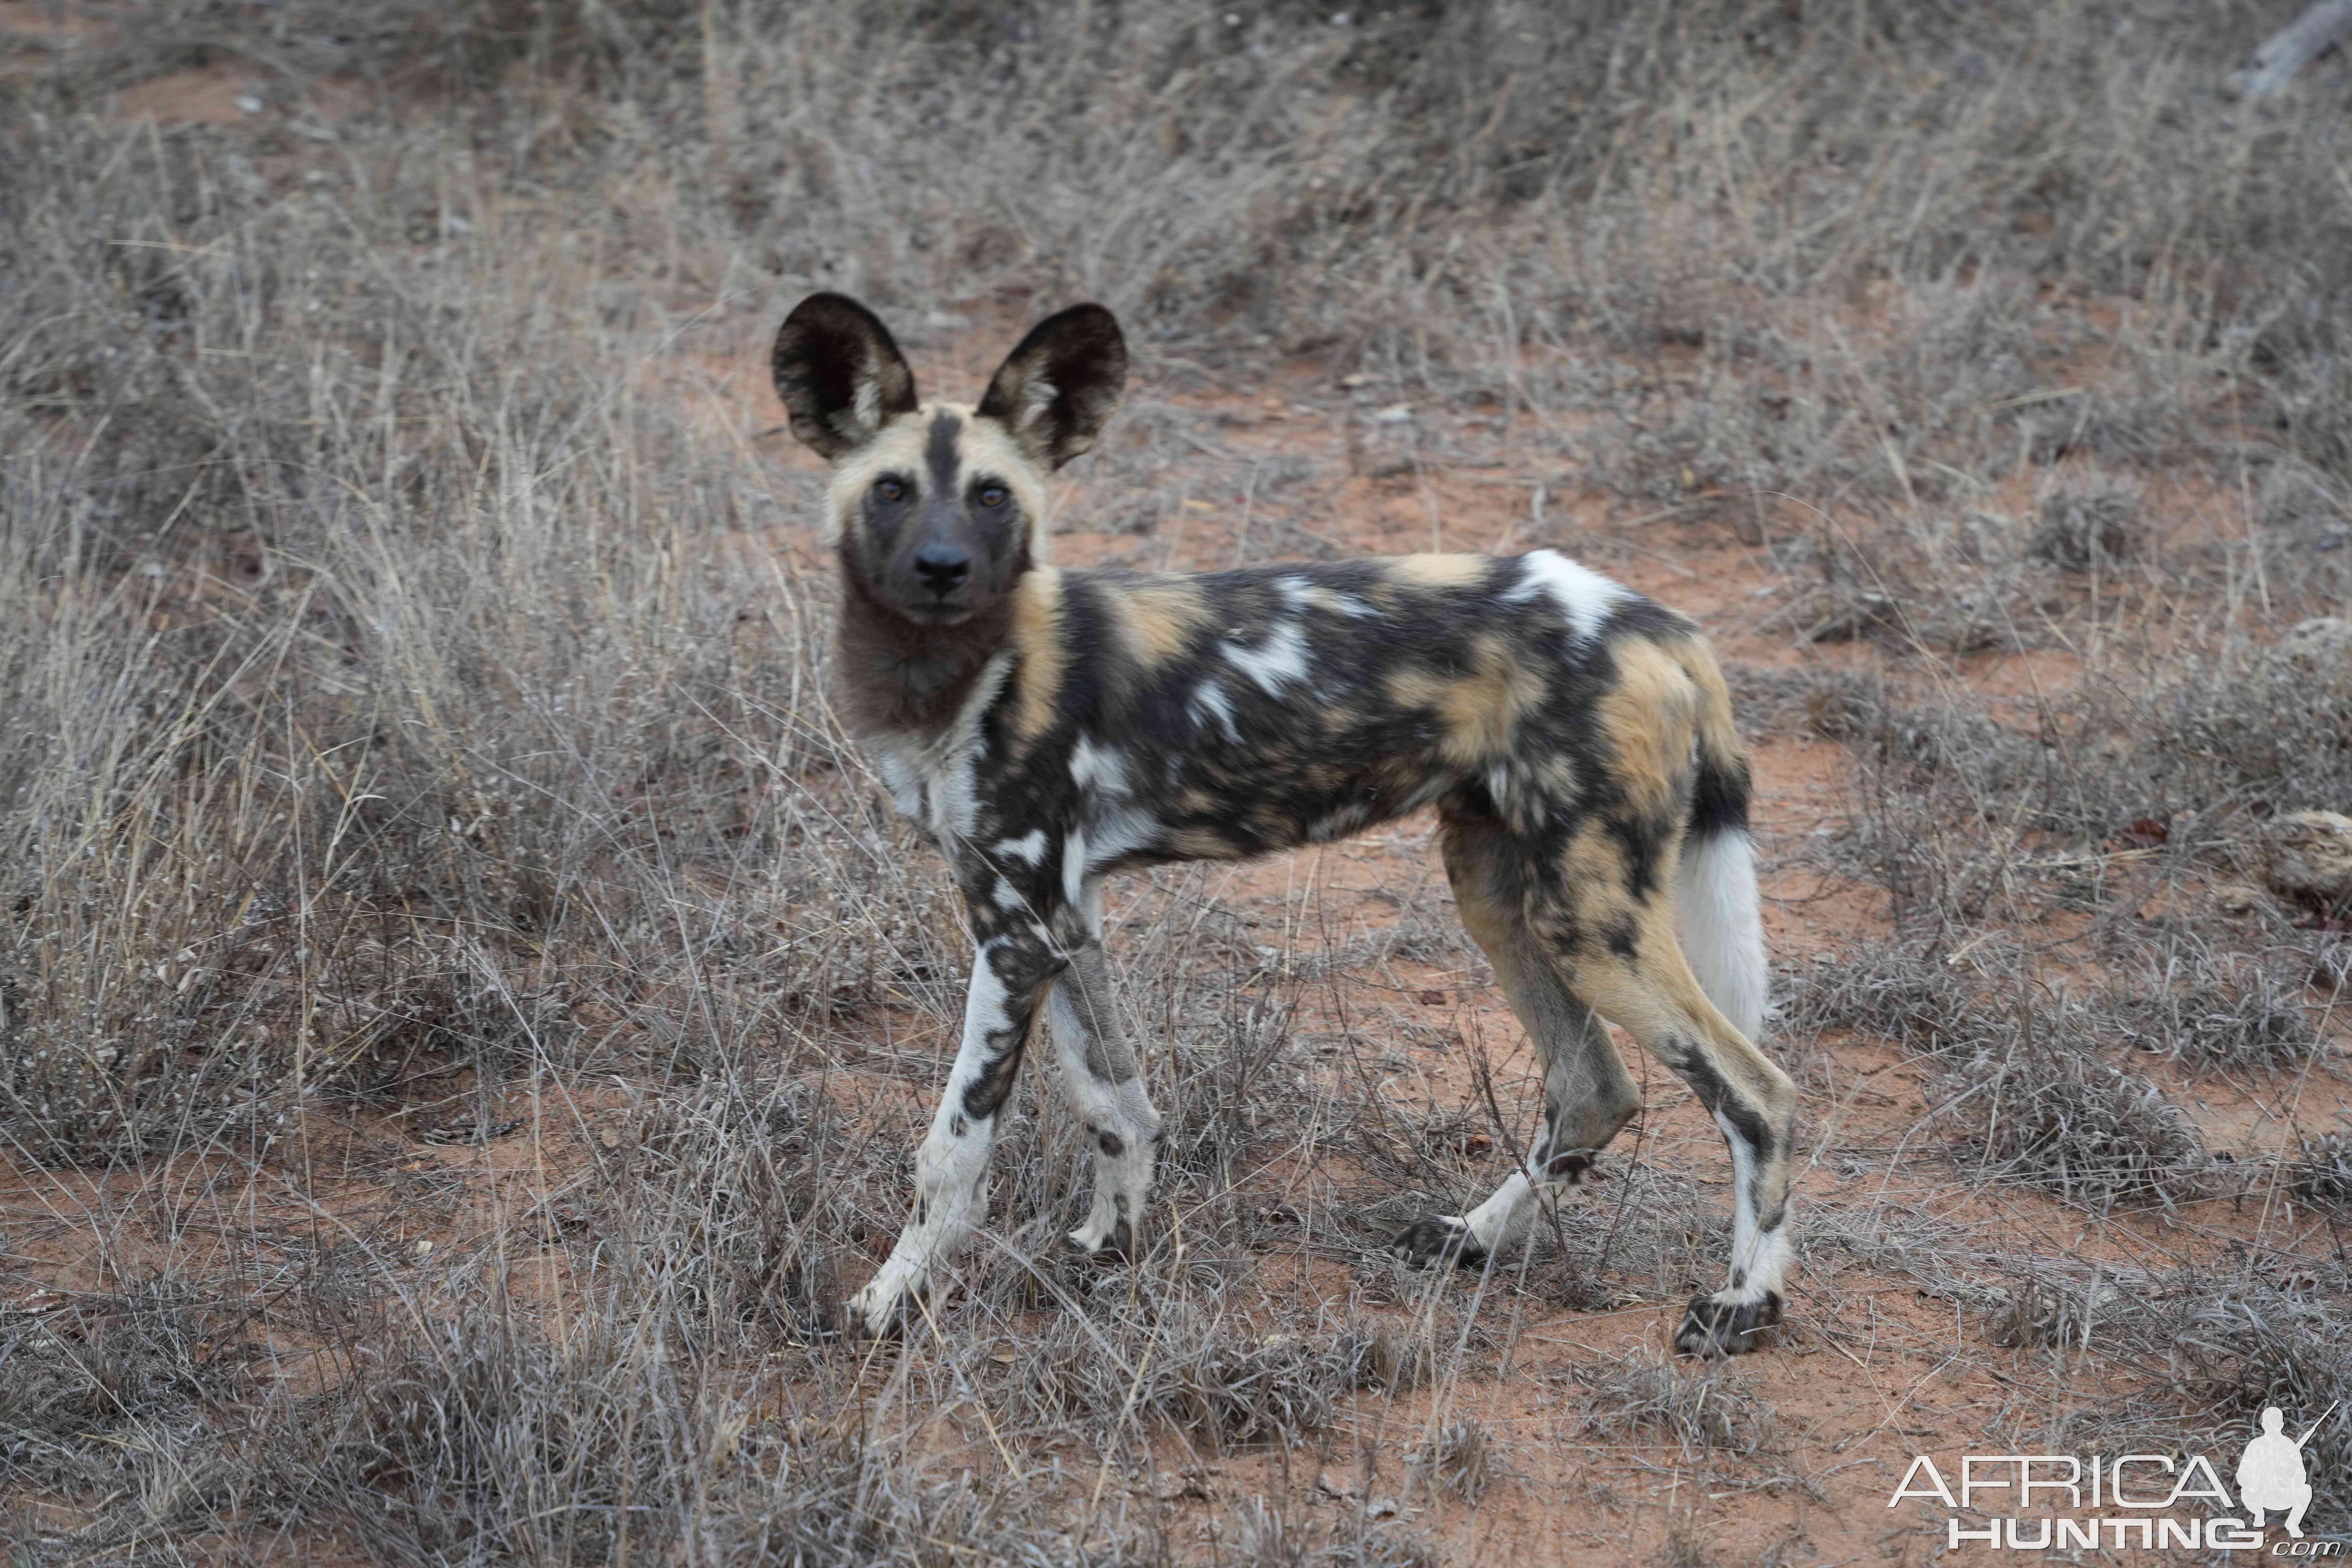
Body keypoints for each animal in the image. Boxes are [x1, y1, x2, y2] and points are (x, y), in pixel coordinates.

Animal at [771, 294, 1797, 1363]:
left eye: (992, 497)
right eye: (891, 491)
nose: (943, 570)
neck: (959, 669)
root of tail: (1661, 624)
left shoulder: (1014, 934)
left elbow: (954, 1149)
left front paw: (891, 1299)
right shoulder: (1059, 917)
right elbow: (1115, 1103)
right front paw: (1111, 1242)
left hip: (1590, 923)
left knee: (1760, 1094)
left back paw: (1744, 1304)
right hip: (1502, 892)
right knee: (1593, 1088)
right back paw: (1472, 1237)